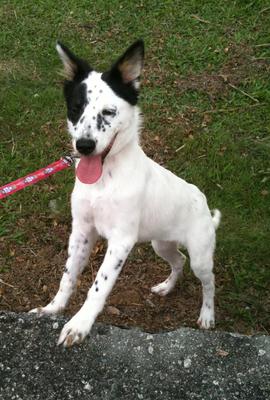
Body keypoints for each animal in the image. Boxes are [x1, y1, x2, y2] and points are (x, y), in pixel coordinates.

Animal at [31, 39, 221, 346]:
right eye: (75, 107)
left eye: (108, 112)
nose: (84, 146)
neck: (103, 180)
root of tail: (203, 203)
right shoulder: (82, 231)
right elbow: (68, 276)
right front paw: (52, 309)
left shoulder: (120, 241)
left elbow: (98, 286)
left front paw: (80, 324)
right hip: (161, 243)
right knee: (178, 261)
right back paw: (166, 287)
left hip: (201, 256)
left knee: (209, 281)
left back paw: (207, 315)